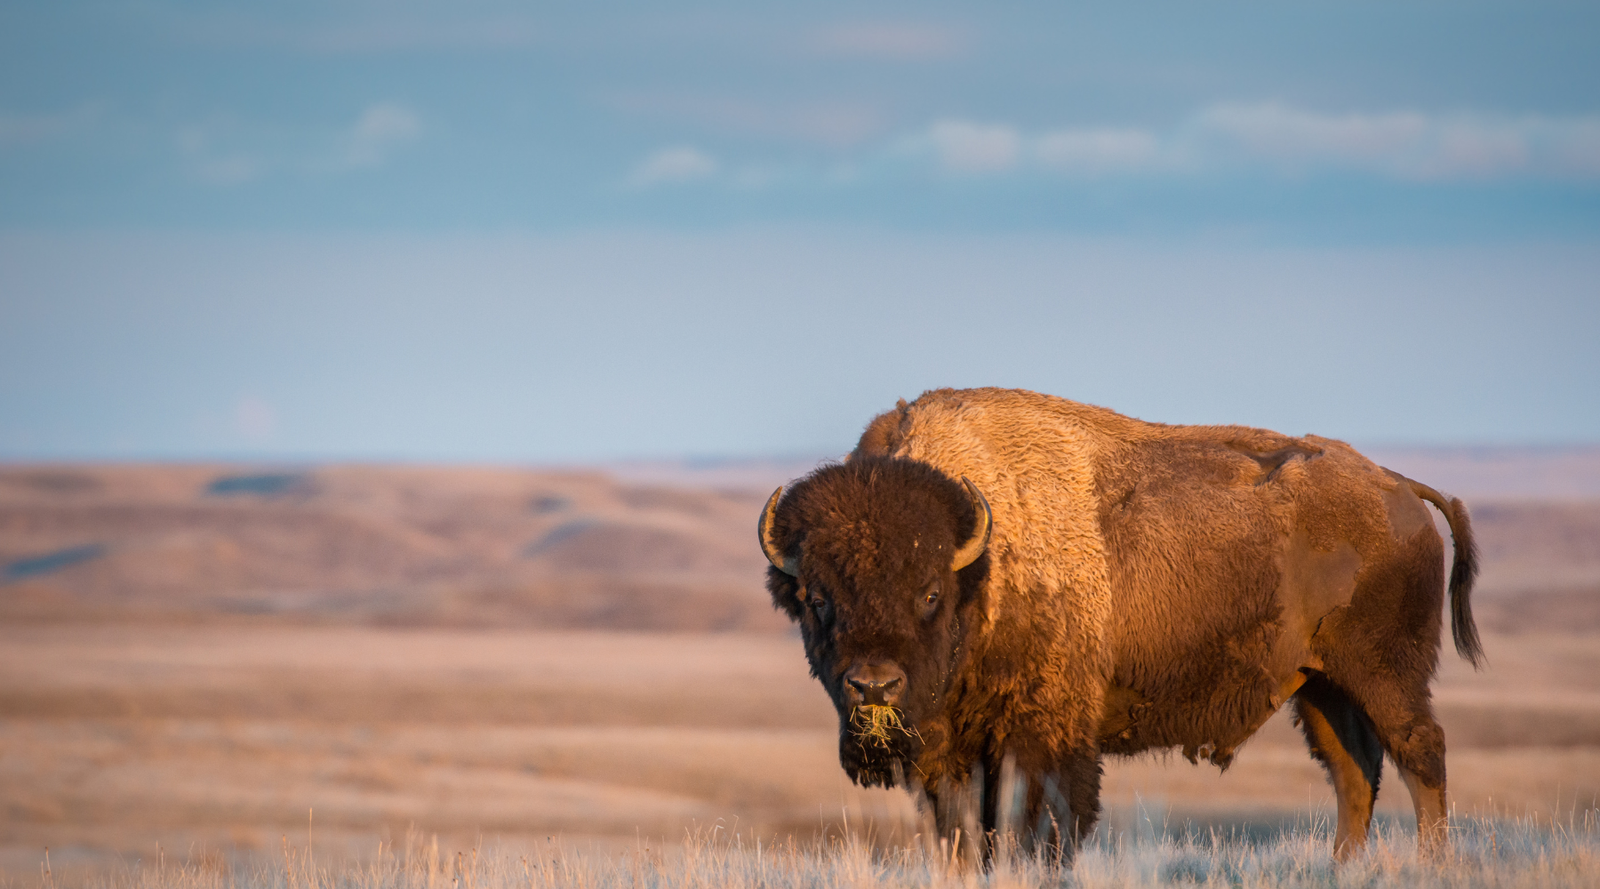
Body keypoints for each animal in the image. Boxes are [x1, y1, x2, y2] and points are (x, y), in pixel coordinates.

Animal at [759, 387, 1480, 865]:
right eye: (817, 598)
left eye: (929, 592)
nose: (873, 686)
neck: (982, 563)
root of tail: (1398, 487)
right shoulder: (951, 750)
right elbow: (964, 832)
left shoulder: (1042, 736)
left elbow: (1037, 824)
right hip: (1320, 684)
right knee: (1354, 771)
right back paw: (1343, 867)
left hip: (1385, 672)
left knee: (1421, 752)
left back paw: (1431, 865)